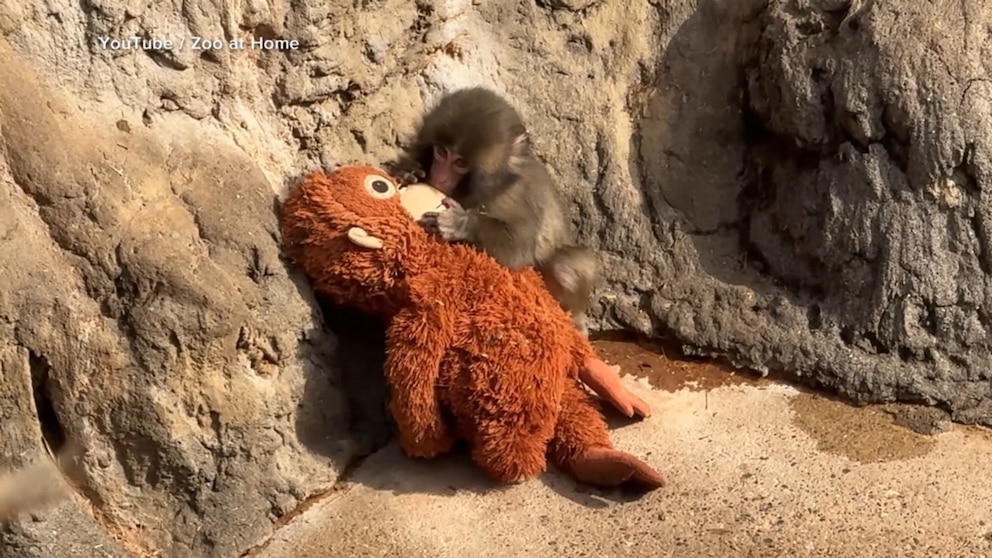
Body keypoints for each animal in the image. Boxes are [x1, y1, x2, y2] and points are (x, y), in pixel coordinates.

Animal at [390, 86, 599, 336]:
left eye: (460, 163)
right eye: (441, 152)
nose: (439, 177)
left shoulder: (515, 195)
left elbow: (518, 250)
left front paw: (461, 223)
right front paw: (407, 171)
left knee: (566, 264)